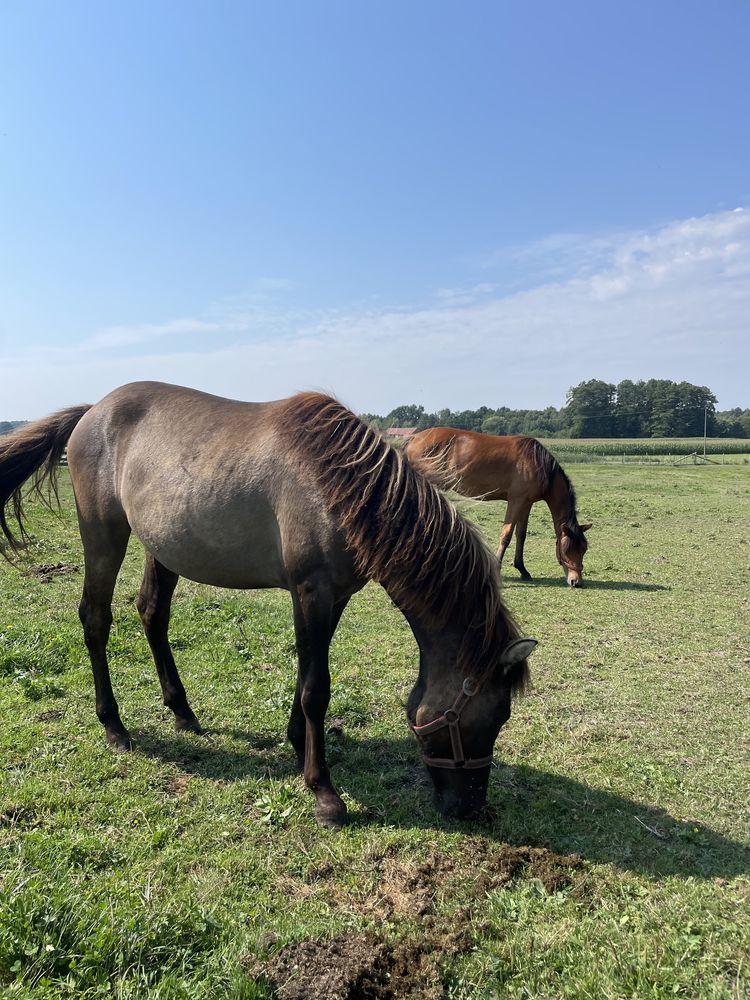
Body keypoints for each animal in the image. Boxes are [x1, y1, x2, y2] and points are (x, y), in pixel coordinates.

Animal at [1, 382, 540, 828]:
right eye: (494, 717)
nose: (470, 808)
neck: (344, 487)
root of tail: (94, 410)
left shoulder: (333, 598)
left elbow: (306, 676)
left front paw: (298, 743)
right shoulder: (312, 593)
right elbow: (317, 689)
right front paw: (324, 792)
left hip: (162, 547)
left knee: (153, 613)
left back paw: (182, 711)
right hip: (103, 536)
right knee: (95, 618)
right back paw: (113, 725)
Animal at [406, 428, 592, 584]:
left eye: (584, 549)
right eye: (567, 550)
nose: (576, 582)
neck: (539, 464)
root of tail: (414, 439)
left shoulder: (526, 504)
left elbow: (521, 535)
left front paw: (522, 569)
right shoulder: (516, 501)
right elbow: (506, 535)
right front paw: (497, 567)